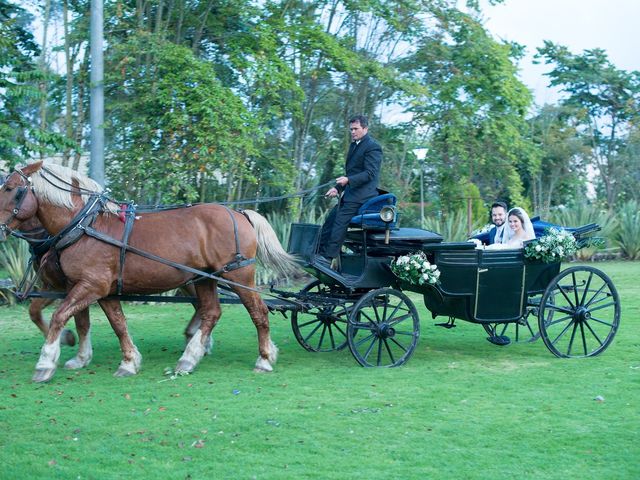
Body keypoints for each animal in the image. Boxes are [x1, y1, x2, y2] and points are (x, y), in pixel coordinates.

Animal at [0, 161, 296, 382]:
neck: (85, 226)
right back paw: (190, 357)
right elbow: (115, 324)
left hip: (238, 276)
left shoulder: (89, 286)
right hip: (203, 278)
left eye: (11, 188)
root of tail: (239, 213)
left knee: (258, 312)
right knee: (211, 312)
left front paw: (46, 362)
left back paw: (264, 358)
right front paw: (127, 361)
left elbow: (60, 316)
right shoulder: (98, 289)